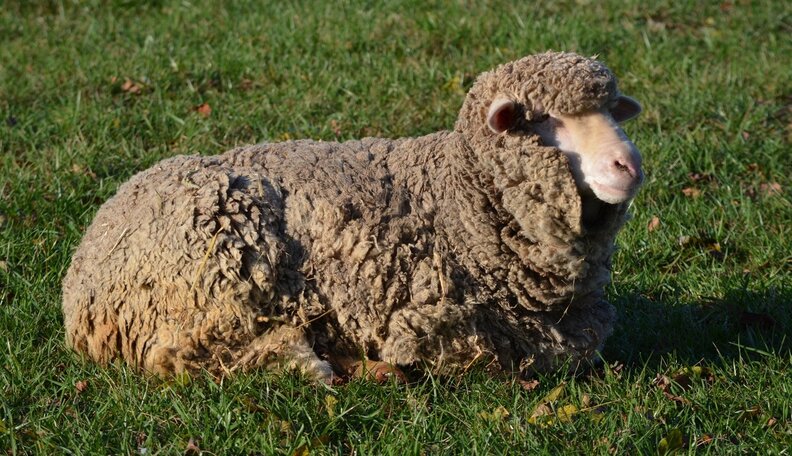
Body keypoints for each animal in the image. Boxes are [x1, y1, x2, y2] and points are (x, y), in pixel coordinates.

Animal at [62, 51, 643, 382]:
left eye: (611, 110)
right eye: (543, 119)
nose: (630, 163)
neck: (453, 196)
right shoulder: (447, 329)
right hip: (212, 285)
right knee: (197, 358)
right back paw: (334, 365)